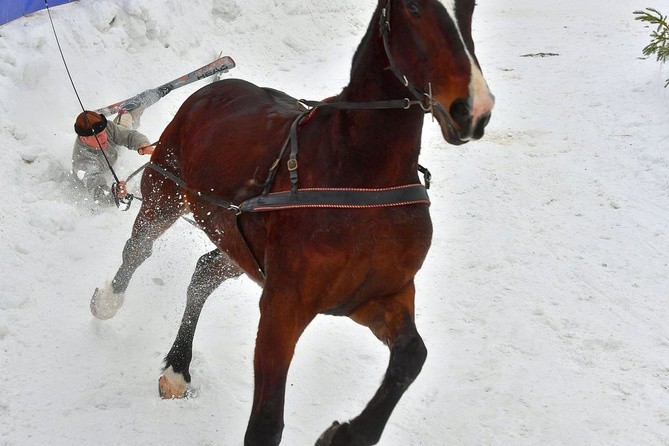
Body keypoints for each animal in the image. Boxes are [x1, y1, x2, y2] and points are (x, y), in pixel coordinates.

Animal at [91, 1, 494, 444]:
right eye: (414, 8)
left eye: (471, 8)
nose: (472, 110)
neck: (362, 176)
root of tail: (211, 88)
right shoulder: (283, 307)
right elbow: (266, 422)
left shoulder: (379, 297)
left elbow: (412, 356)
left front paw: (345, 434)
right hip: (164, 194)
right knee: (139, 248)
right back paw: (109, 301)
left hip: (236, 243)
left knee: (204, 273)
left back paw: (178, 368)